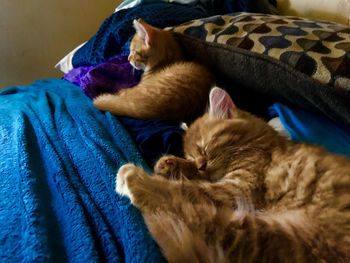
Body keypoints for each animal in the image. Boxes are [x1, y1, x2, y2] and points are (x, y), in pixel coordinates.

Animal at [115, 87, 350, 262]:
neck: (262, 144)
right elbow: (195, 179)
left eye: (205, 147)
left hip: (276, 234)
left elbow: (188, 188)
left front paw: (156, 174)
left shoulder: (238, 188)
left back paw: (134, 179)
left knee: (192, 214)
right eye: (193, 156)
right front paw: (169, 164)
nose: (201, 165)